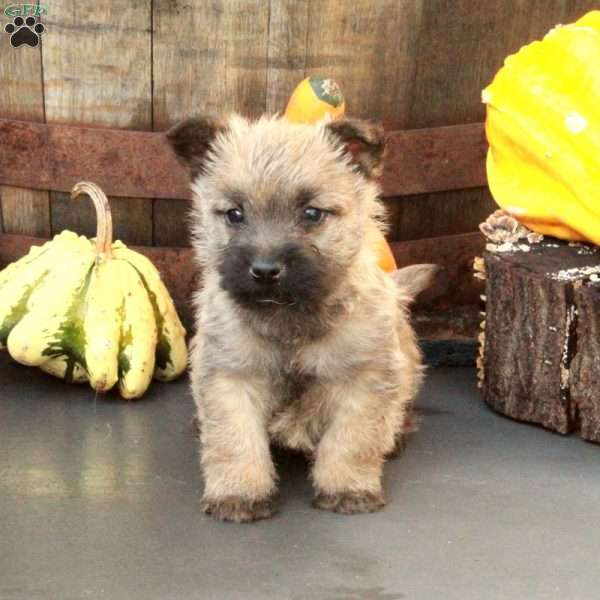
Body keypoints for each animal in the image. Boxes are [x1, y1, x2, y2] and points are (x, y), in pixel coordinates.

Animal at [169, 115, 436, 524]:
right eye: (234, 214)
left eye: (311, 213)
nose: (264, 270)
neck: (289, 320)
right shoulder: (230, 376)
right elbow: (234, 439)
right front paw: (238, 492)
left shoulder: (364, 380)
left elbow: (351, 440)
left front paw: (348, 489)